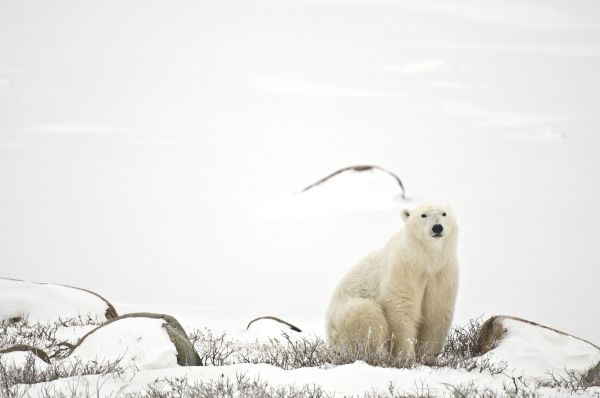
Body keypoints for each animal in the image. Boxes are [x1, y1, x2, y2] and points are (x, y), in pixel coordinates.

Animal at [326, 205, 458, 360]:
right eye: (423, 215)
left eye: (444, 213)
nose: (437, 227)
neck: (425, 259)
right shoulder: (403, 267)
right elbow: (401, 308)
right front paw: (406, 356)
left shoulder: (442, 273)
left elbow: (437, 311)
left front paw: (427, 356)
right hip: (341, 319)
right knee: (366, 314)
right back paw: (379, 354)